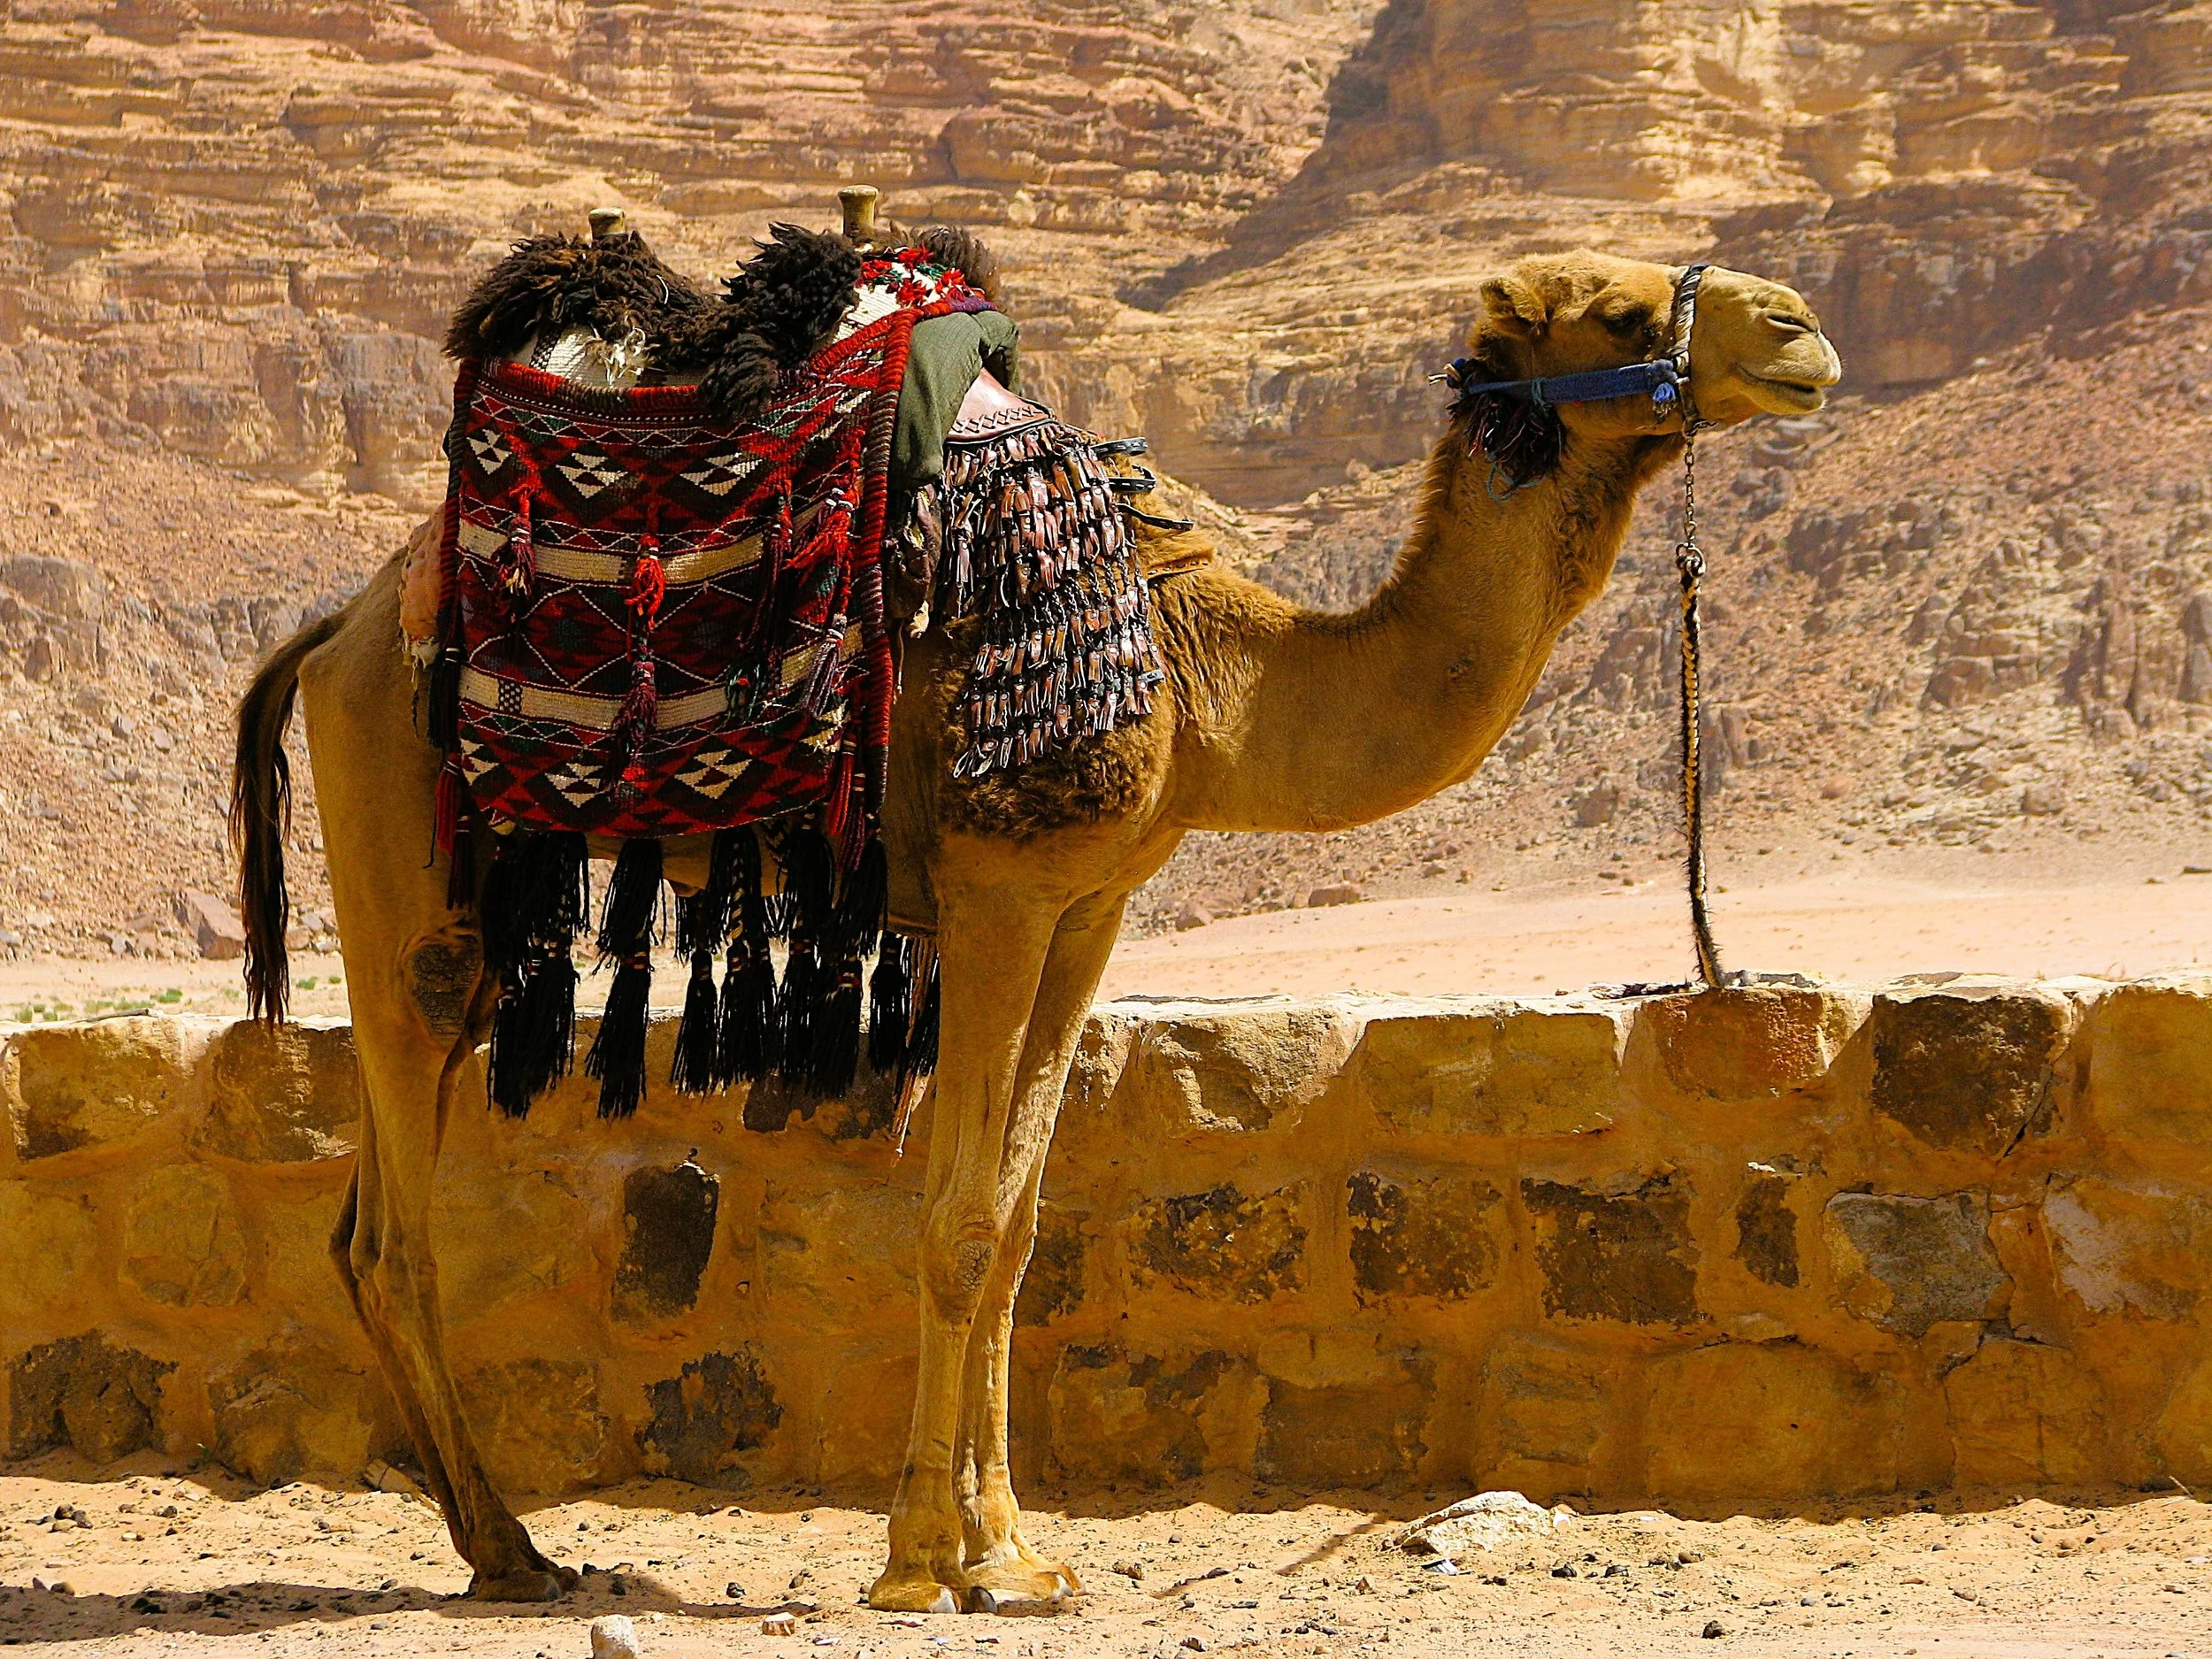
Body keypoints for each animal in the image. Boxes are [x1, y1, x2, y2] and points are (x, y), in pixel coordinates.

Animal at [230, 247, 1839, 1611]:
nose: (1802, 330)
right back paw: (516, 1546)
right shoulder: (1001, 892)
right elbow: (952, 1229)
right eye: (1619, 311)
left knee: (364, 1223)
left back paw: (495, 1543)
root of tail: (340, 627)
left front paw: (1014, 1551)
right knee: (400, 1233)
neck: (1207, 677)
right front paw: (921, 1563)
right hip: (408, 855)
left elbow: (1014, 1226)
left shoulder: (1092, 906)